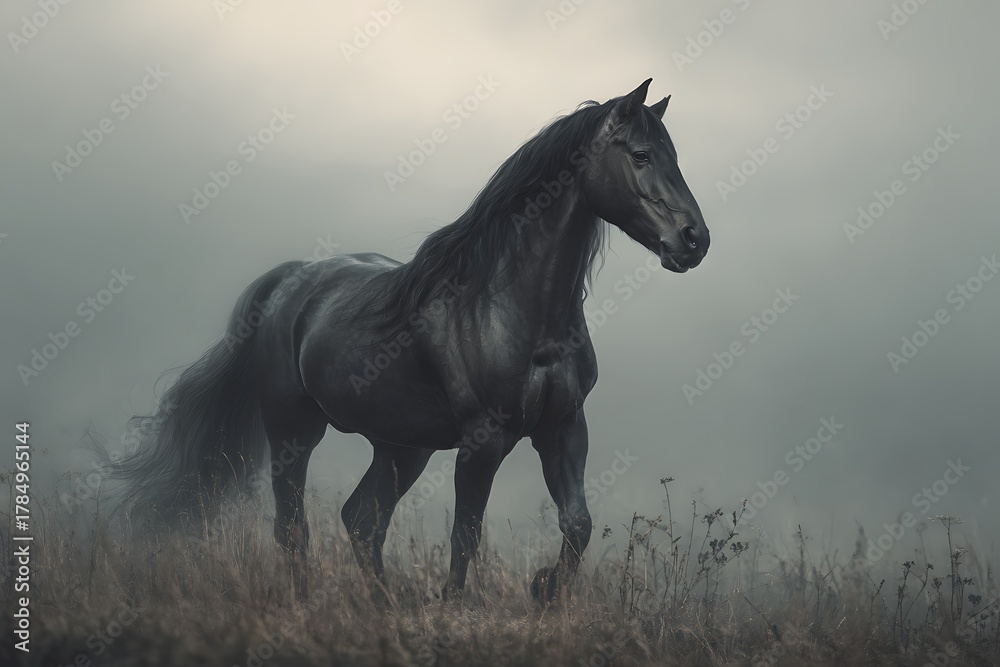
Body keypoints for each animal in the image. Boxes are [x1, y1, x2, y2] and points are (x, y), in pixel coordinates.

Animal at [109, 78, 710, 603]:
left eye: (676, 156)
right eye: (640, 155)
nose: (694, 240)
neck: (516, 308)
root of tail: (291, 280)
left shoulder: (563, 427)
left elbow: (578, 524)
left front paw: (543, 590)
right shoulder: (483, 440)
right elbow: (466, 534)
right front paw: (456, 606)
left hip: (401, 446)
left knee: (361, 521)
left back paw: (385, 605)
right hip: (294, 430)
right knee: (293, 527)